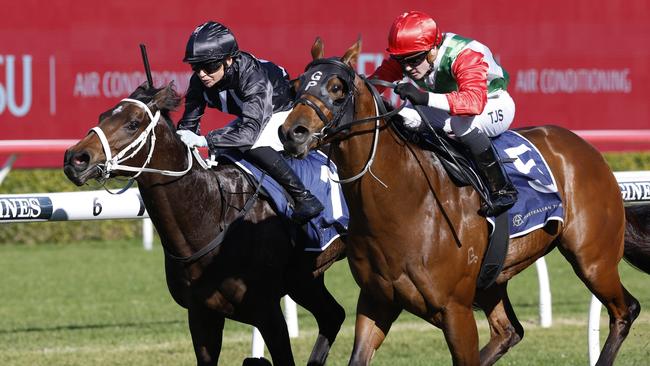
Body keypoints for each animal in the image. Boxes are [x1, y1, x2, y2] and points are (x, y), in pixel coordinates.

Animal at [64, 83, 346, 366]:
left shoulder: (268, 312)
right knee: (334, 315)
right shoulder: (202, 315)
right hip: (304, 279)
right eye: (103, 116)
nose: (75, 158)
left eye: (133, 123)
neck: (212, 216)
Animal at [280, 38, 648, 364]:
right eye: (296, 85)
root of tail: (588, 150)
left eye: (337, 87)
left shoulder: (454, 310)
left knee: (624, 310)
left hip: (593, 259)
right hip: (494, 278)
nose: (291, 132)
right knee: (508, 332)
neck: (402, 202)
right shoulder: (376, 301)